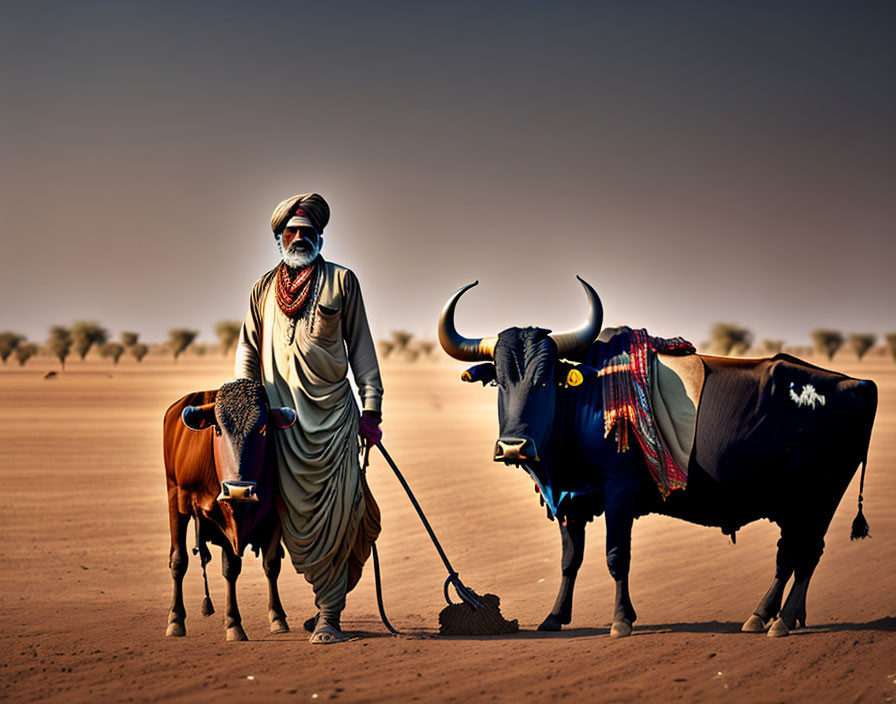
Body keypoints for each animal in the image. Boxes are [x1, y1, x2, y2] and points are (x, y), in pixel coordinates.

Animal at [163, 380, 296, 644]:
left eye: (263, 429)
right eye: (217, 430)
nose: (238, 490)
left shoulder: (274, 513)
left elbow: (271, 564)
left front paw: (277, 617)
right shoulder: (224, 519)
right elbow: (230, 568)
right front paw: (234, 623)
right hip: (175, 498)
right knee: (178, 560)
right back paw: (175, 619)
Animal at [438, 280, 880, 640]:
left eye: (545, 380)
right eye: (499, 379)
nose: (514, 446)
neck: (586, 397)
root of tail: (856, 383)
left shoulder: (619, 491)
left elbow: (616, 555)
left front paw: (620, 620)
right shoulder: (570, 500)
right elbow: (569, 561)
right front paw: (554, 617)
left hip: (816, 498)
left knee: (803, 553)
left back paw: (780, 621)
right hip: (799, 505)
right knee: (795, 554)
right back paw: (769, 616)